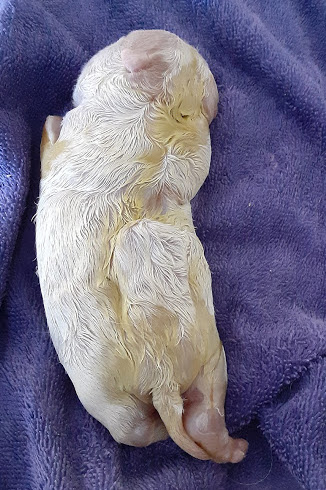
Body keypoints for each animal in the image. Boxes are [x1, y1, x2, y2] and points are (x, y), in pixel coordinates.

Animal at [35, 29, 248, 464]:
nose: (213, 99)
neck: (160, 108)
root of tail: (161, 379)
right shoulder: (189, 141)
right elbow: (193, 163)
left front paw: (51, 122)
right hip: (203, 364)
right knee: (192, 415)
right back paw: (234, 449)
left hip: (119, 394)